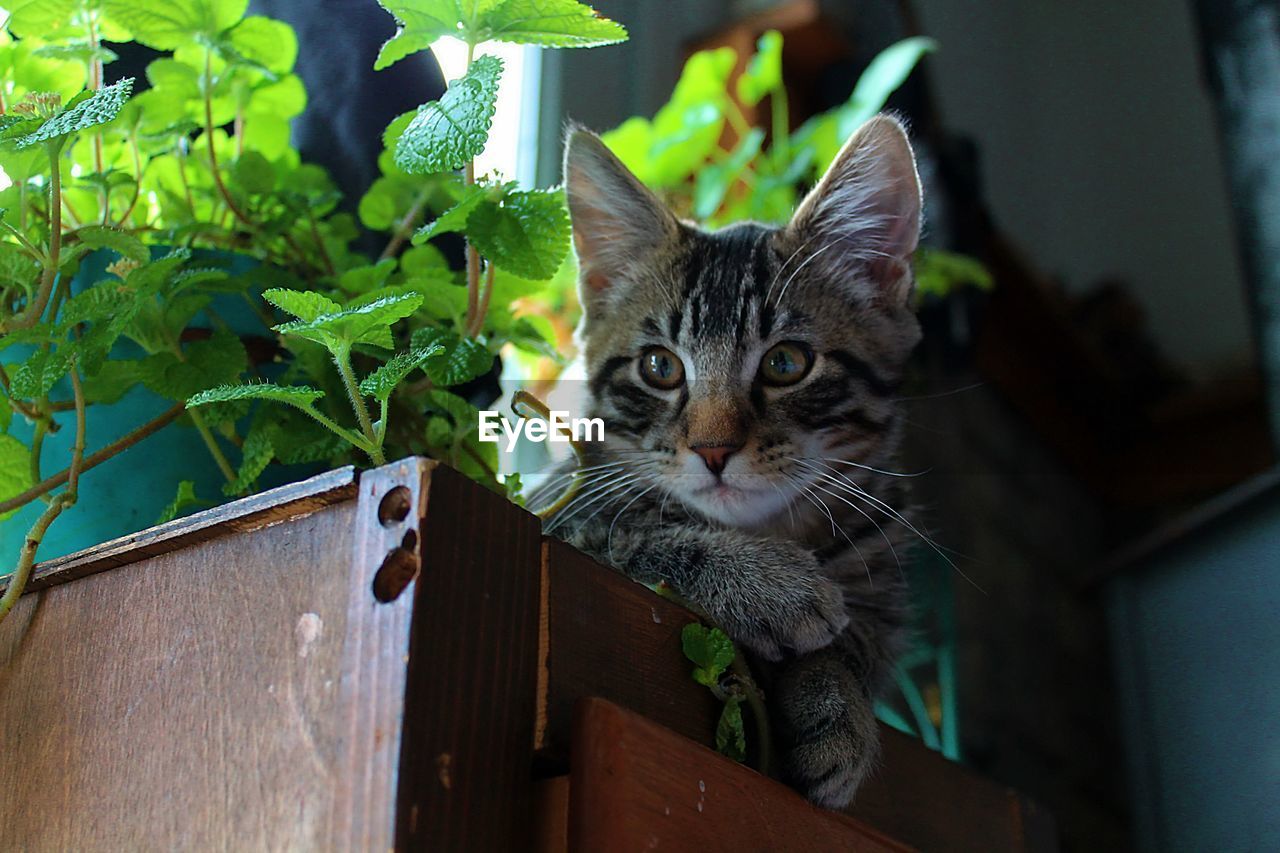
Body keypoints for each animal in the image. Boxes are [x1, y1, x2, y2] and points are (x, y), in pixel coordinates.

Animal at [535, 116, 926, 809]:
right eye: (659, 367)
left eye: (787, 363)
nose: (713, 449)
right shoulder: (555, 508)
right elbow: (633, 533)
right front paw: (770, 585)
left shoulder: (885, 586)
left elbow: (860, 639)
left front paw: (835, 707)